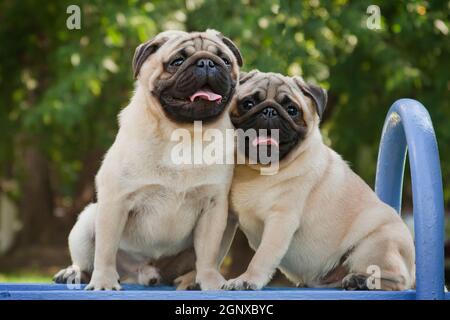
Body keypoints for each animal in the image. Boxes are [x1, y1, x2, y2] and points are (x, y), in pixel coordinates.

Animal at [53, 30, 243, 290]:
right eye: (177, 62)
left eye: (225, 61)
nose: (207, 62)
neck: (185, 133)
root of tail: (143, 271)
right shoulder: (115, 201)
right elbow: (105, 249)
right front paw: (103, 282)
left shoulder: (214, 206)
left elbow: (207, 254)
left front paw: (210, 281)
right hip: (87, 221)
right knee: (87, 259)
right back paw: (74, 273)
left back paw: (189, 280)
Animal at [224, 71, 414, 292]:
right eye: (248, 103)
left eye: (292, 110)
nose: (269, 111)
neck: (257, 170)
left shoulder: (281, 220)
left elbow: (262, 256)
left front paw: (247, 279)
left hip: (374, 245)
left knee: (398, 280)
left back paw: (361, 281)